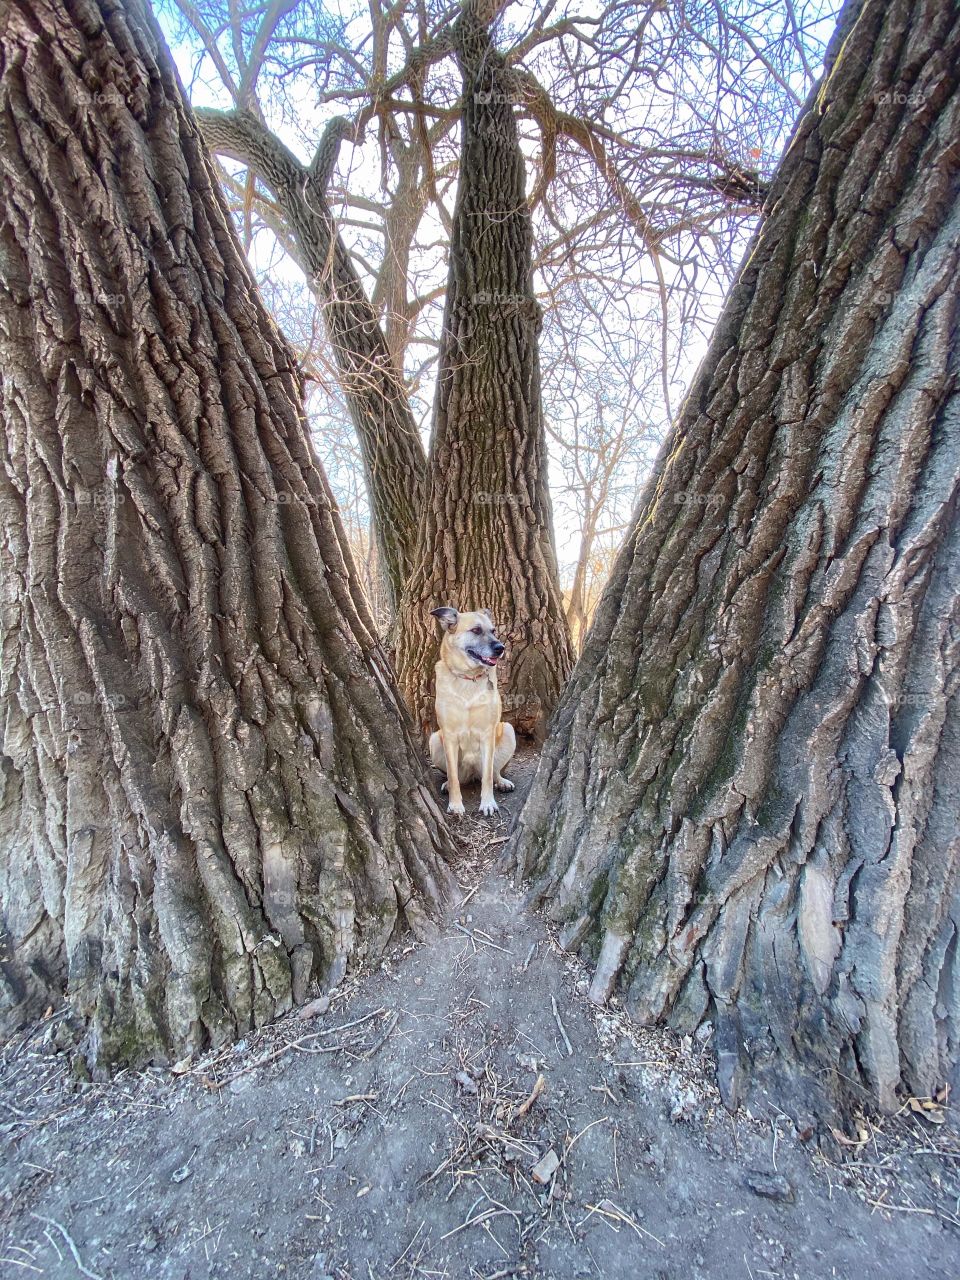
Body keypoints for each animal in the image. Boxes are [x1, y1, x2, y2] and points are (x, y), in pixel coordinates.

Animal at [430, 604, 519, 814]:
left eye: (493, 631)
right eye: (476, 630)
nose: (500, 648)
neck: (468, 678)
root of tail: (471, 773)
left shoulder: (487, 734)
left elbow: (487, 776)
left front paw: (488, 803)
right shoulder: (449, 736)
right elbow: (453, 776)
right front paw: (455, 804)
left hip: (508, 730)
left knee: (493, 772)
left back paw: (501, 782)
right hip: (434, 740)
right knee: (456, 778)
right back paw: (447, 784)